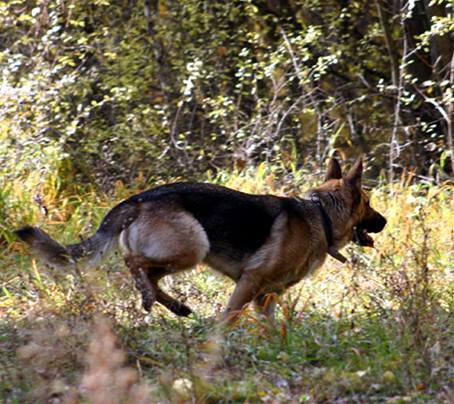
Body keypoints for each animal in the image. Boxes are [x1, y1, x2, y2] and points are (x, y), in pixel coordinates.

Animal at [14, 158, 384, 322]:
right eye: (368, 203)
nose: (385, 221)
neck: (320, 215)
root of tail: (137, 200)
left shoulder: (265, 297)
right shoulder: (250, 282)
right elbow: (228, 317)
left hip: (181, 253)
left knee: (148, 275)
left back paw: (174, 305)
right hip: (193, 248)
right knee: (134, 265)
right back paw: (151, 298)